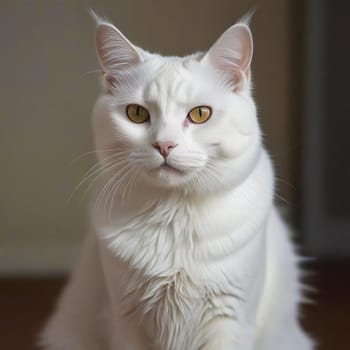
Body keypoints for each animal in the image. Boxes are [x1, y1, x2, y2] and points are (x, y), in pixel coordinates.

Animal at [40, 15, 314, 350]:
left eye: (200, 114)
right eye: (136, 113)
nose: (164, 145)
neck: (174, 215)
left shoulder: (230, 318)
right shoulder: (125, 319)